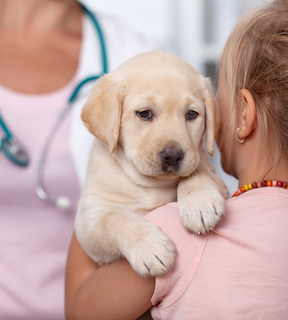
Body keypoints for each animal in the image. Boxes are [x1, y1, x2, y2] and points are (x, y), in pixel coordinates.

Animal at [75, 51, 228, 276]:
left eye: (191, 114)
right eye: (144, 113)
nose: (173, 156)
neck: (151, 184)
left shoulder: (219, 182)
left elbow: (196, 172)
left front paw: (200, 202)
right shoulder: (89, 220)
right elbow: (115, 217)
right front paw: (149, 248)